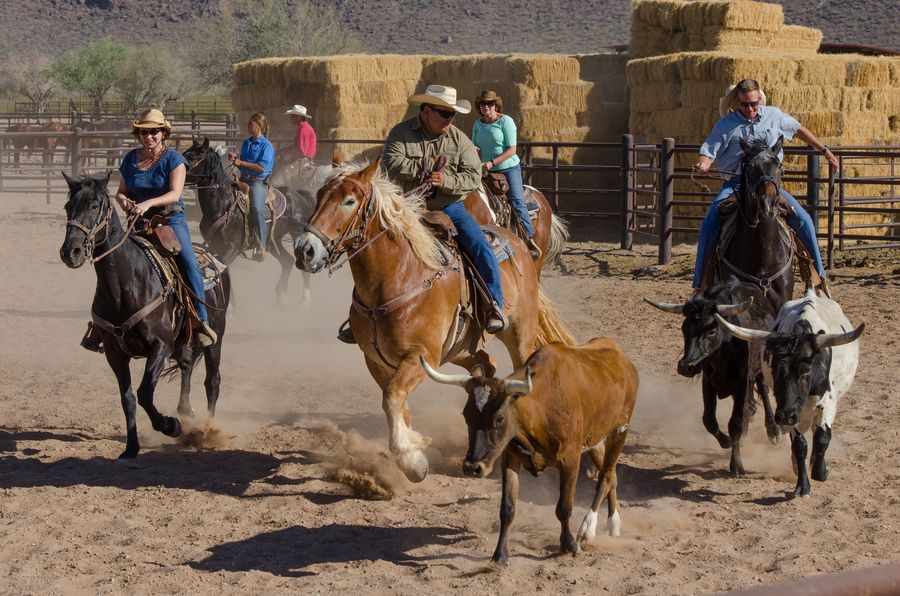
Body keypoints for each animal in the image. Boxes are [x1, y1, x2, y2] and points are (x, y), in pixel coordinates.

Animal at [58, 170, 230, 458]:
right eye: (68, 206)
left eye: (94, 205)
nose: (71, 252)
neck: (125, 284)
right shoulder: (115, 353)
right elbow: (128, 398)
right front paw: (131, 447)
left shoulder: (160, 346)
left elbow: (145, 392)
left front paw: (170, 426)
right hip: (182, 340)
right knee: (186, 364)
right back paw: (186, 412)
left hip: (216, 337)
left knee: (212, 381)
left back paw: (207, 430)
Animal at [181, 139, 318, 308]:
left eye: (193, 157)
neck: (223, 206)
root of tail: (299, 195)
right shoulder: (215, 246)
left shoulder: (232, 248)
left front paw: (229, 306)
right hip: (273, 240)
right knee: (287, 261)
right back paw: (282, 296)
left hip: (296, 233)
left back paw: (305, 301)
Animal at [298, 159, 576, 484]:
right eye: (319, 195)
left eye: (349, 201)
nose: (304, 249)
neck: (399, 276)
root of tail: (516, 241)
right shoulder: (377, 361)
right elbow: (395, 402)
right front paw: (414, 451)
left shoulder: (421, 357)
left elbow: (392, 397)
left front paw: (410, 461)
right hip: (460, 349)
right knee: (486, 363)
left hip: (519, 333)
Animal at [422, 338, 640, 564]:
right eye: (466, 416)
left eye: (499, 418)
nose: (473, 467)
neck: (542, 406)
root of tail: (621, 357)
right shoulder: (510, 460)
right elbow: (507, 509)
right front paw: (499, 556)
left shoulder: (570, 460)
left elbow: (564, 507)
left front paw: (569, 544)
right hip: (596, 440)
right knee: (612, 475)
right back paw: (612, 523)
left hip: (619, 430)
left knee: (606, 475)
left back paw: (591, 527)